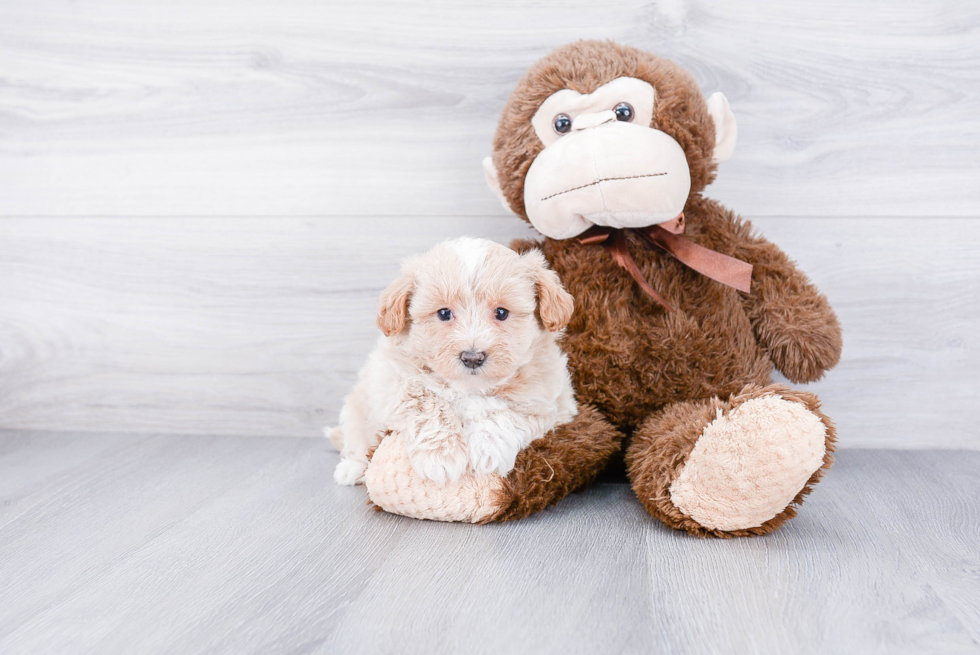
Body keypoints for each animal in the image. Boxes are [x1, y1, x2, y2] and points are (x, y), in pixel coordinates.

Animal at [326, 237, 580, 486]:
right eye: (444, 313)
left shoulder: (547, 400)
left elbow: (504, 412)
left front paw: (489, 449)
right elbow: (425, 402)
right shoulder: (392, 382)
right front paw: (441, 456)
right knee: (357, 442)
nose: (472, 357)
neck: (469, 387)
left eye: (501, 313)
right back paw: (352, 469)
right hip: (356, 411)